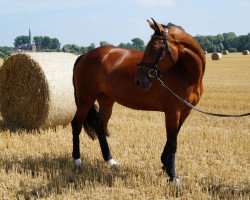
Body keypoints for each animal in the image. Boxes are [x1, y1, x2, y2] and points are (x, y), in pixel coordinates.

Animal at [71, 19, 206, 183]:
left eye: (154, 47)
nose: (139, 80)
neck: (184, 73)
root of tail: (84, 55)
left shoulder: (185, 111)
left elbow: (172, 138)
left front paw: (165, 164)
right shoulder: (173, 112)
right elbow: (173, 142)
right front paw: (173, 176)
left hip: (106, 101)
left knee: (100, 127)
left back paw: (110, 160)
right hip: (86, 99)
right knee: (76, 125)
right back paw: (77, 160)